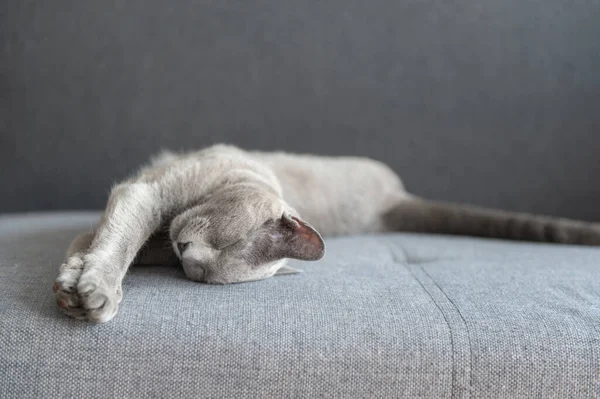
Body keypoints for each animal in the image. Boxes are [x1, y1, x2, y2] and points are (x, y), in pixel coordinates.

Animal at [50, 145, 600, 324]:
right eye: (227, 235)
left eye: (200, 273)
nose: (187, 251)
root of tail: (391, 203)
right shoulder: (147, 193)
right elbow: (113, 238)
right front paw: (87, 285)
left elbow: (104, 241)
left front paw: (81, 287)